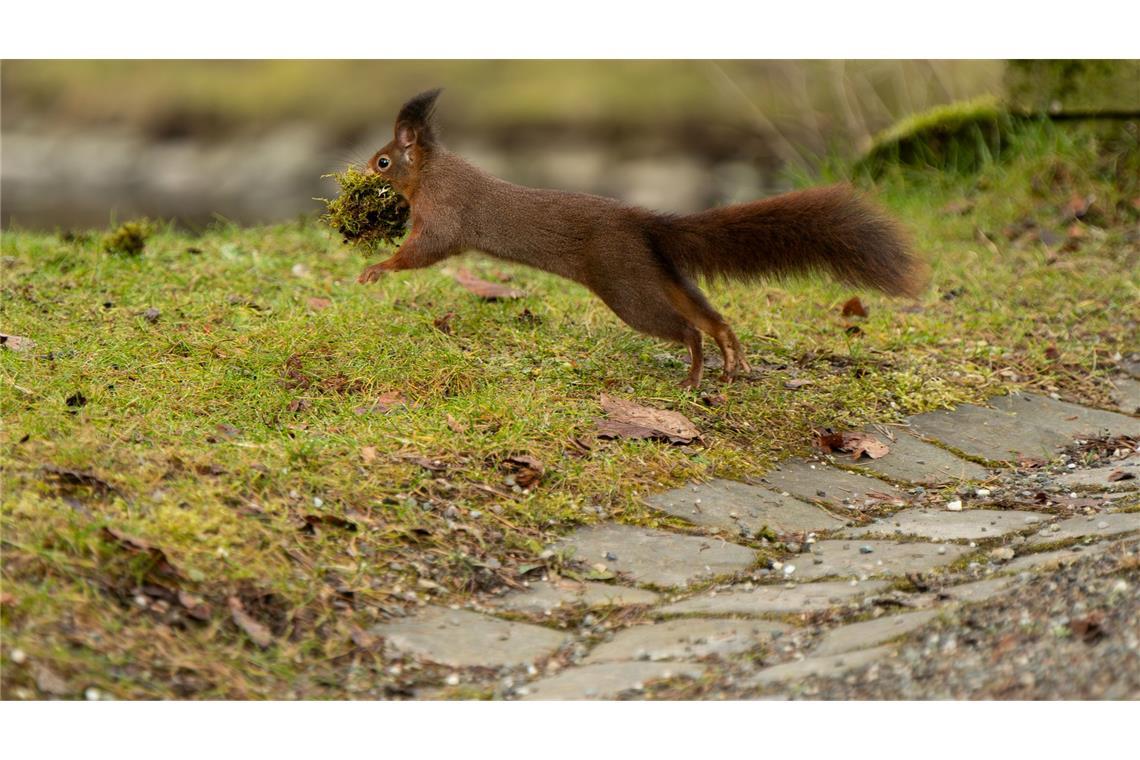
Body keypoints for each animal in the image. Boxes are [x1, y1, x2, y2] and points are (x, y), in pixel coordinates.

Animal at [355, 88, 925, 387]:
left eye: (382, 160)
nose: (360, 173)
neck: (432, 172)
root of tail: (645, 222)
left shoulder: (447, 215)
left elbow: (428, 250)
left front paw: (376, 268)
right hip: (658, 273)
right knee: (711, 316)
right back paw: (731, 359)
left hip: (625, 284)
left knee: (687, 328)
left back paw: (694, 375)